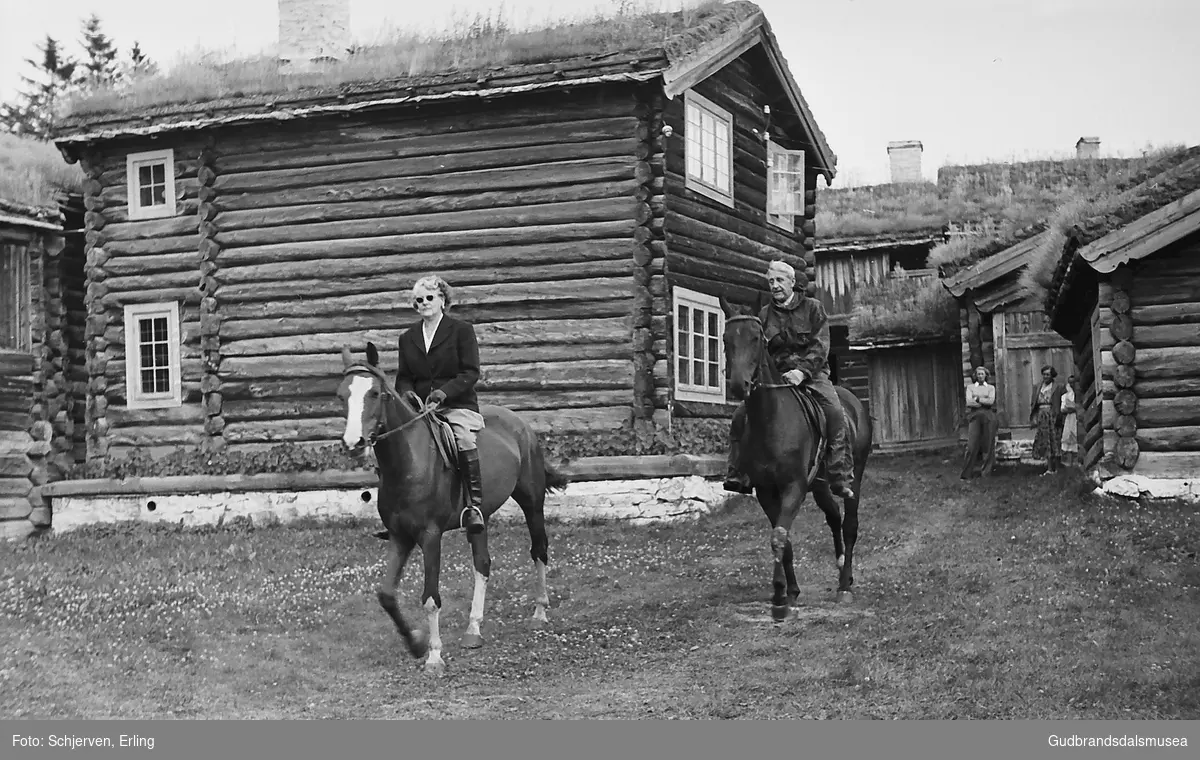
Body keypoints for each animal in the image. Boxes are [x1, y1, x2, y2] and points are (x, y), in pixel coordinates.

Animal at [333, 340, 566, 672]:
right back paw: (473, 629)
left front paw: (434, 656)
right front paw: (416, 644)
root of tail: (520, 423)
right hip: (480, 518)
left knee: (539, 550)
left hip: (532, 502)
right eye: (342, 395)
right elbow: (386, 595)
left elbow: (431, 598)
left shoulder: (430, 537)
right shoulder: (400, 536)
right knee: (483, 563)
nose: (354, 444)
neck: (408, 462)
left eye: (376, 393)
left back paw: (539, 612)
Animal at [720, 298, 873, 619]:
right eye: (726, 339)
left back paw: (845, 586)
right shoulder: (767, 490)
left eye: (757, 338)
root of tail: (854, 403)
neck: (771, 420)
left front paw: (780, 598)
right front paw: (789, 593)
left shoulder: (794, 487)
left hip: (853, 479)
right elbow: (784, 539)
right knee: (834, 516)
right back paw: (842, 566)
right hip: (820, 485)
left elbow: (779, 535)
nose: (739, 385)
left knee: (850, 524)